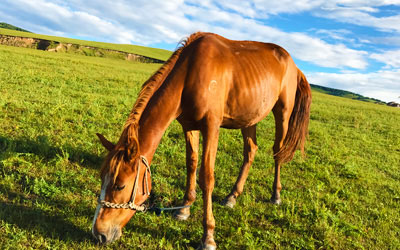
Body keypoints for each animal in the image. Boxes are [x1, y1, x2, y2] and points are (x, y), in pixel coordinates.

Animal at [91, 32, 312, 249]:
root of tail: (294, 65)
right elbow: (192, 164)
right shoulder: (189, 126)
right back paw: (232, 196)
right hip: (250, 117)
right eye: (102, 178)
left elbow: (206, 177)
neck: (190, 73)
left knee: (278, 152)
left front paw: (208, 236)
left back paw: (276, 195)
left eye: (120, 186)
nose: (99, 234)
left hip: (283, 113)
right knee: (251, 151)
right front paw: (184, 209)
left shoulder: (211, 126)